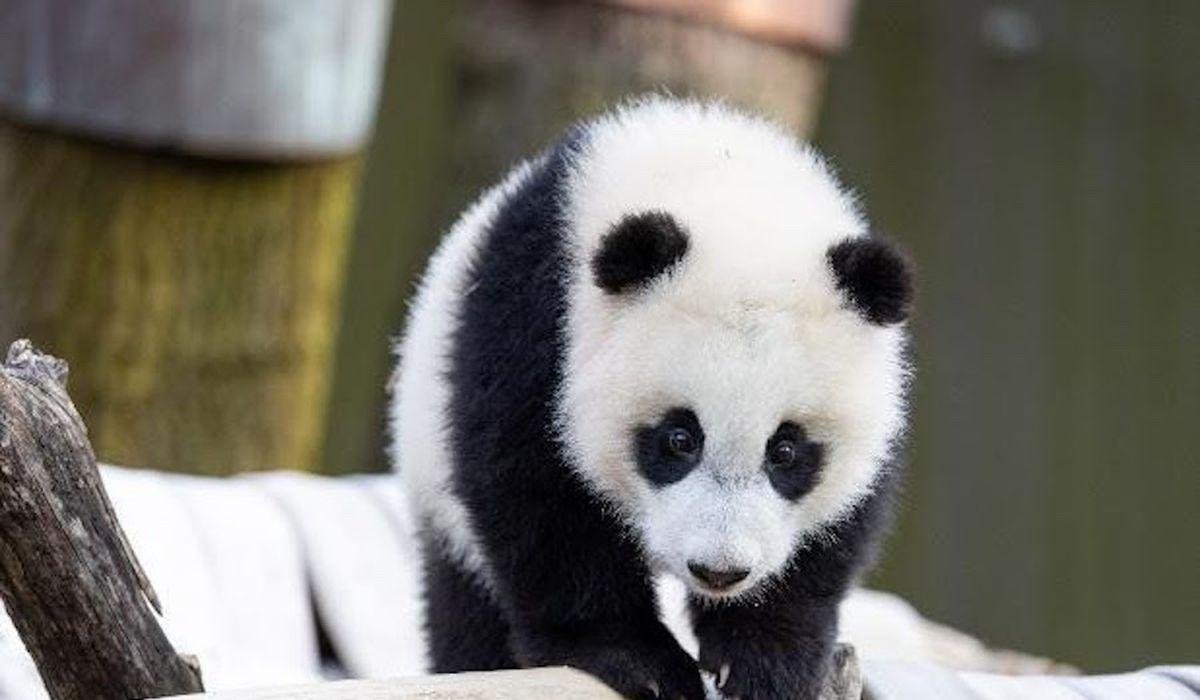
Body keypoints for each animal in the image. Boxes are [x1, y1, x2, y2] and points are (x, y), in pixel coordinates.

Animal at [390, 97, 913, 700]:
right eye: (679, 438)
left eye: (785, 451)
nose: (719, 571)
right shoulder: (535, 320)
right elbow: (535, 490)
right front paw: (638, 660)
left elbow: (835, 530)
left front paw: (765, 657)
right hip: (437, 486)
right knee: (466, 607)